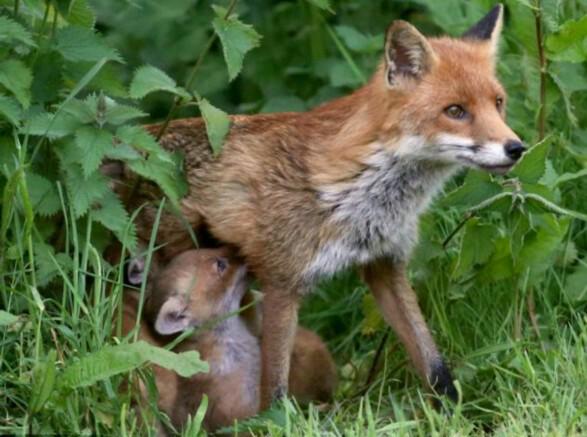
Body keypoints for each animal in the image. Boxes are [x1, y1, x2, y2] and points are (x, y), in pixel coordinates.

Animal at [125, 3, 524, 408]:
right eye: (455, 111)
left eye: (498, 103)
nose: (516, 148)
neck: (355, 189)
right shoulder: (282, 283)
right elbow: (276, 387)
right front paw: (275, 418)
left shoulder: (386, 264)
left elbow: (432, 360)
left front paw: (453, 409)